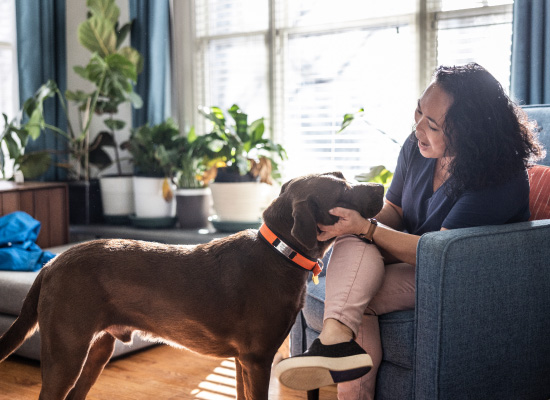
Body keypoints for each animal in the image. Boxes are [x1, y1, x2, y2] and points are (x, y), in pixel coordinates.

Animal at [0, 172, 384, 400]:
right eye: (343, 188)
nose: (381, 186)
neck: (280, 253)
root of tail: (51, 264)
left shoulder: (242, 362)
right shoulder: (258, 359)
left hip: (97, 350)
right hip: (66, 354)